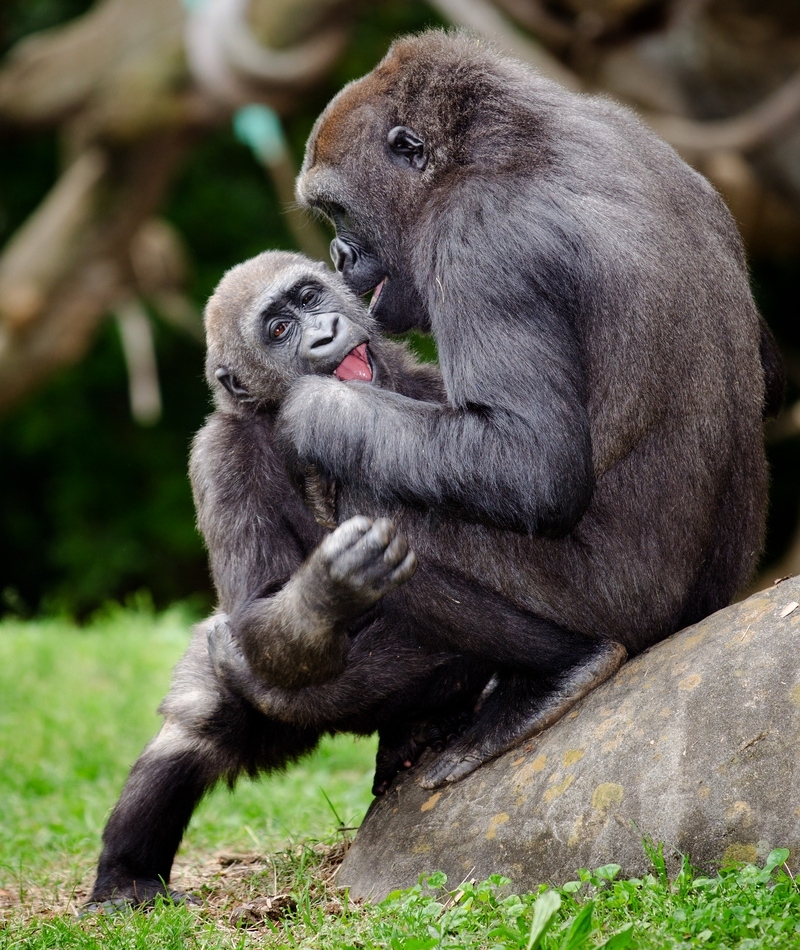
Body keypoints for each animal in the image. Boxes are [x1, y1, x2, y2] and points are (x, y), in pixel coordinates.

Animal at [87, 251, 488, 908]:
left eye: (308, 297)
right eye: (278, 330)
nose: (324, 332)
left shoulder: (429, 393)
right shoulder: (220, 454)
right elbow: (255, 609)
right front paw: (328, 590)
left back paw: (415, 730)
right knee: (199, 727)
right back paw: (124, 874)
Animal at [278, 31, 780, 788]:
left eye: (338, 210)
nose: (338, 254)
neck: (500, 142)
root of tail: (689, 622)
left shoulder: (478, 238)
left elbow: (527, 465)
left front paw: (316, 413)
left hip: (623, 608)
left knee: (376, 500)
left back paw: (553, 678)